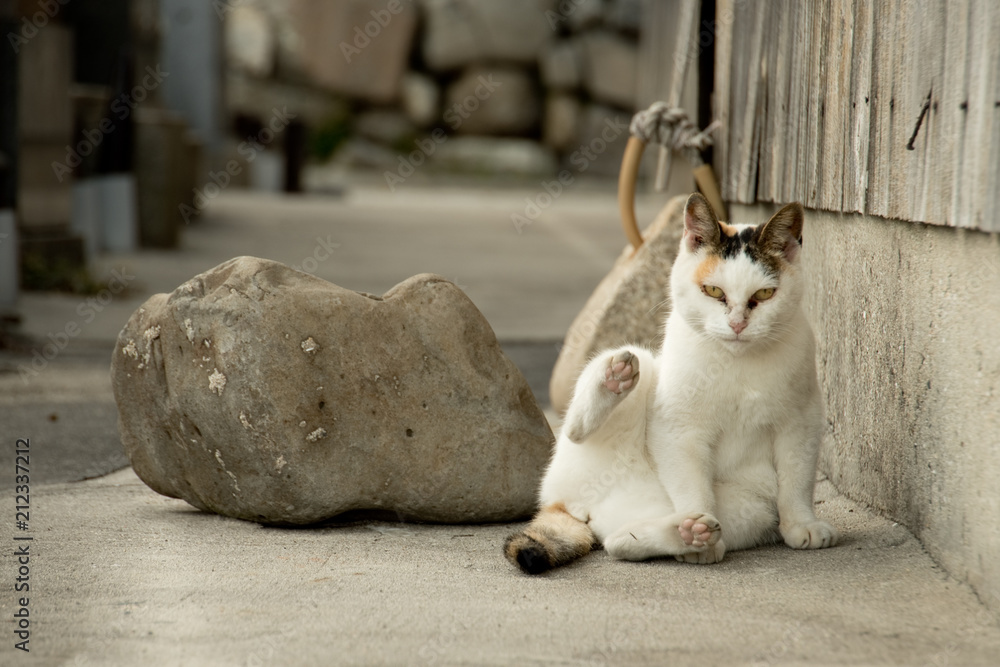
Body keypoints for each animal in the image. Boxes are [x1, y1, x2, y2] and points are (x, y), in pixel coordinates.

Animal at [504, 192, 840, 576]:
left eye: (766, 293)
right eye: (713, 291)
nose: (738, 324)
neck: (737, 362)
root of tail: (571, 504)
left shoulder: (801, 423)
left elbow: (797, 480)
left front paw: (802, 524)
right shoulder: (680, 428)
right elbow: (692, 487)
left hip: (752, 509)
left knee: (620, 544)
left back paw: (689, 533)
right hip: (645, 366)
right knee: (576, 428)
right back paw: (614, 380)